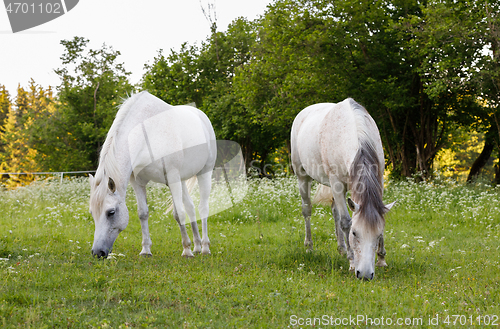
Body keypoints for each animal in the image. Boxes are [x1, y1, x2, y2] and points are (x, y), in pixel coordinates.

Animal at [292, 98, 396, 280]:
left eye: (377, 235)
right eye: (354, 233)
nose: (365, 275)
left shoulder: (380, 180)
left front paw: (381, 259)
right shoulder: (336, 183)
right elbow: (346, 222)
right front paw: (352, 261)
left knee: (335, 212)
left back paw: (341, 249)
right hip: (303, 177)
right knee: (307, 210)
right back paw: (309, 246)